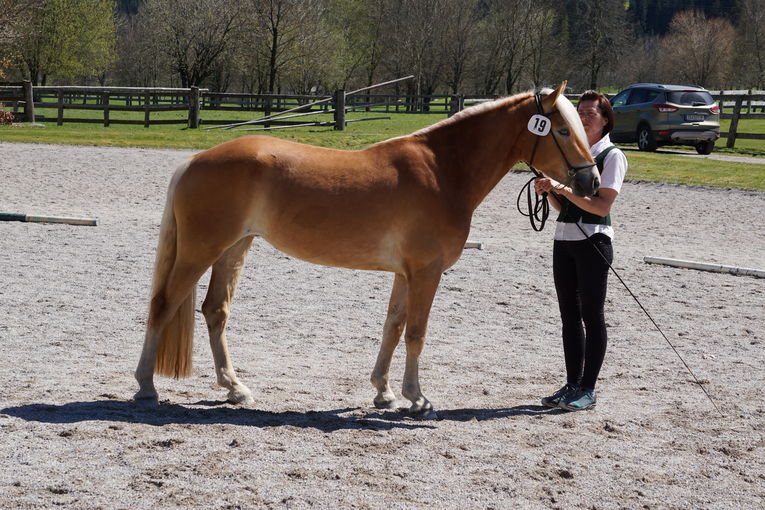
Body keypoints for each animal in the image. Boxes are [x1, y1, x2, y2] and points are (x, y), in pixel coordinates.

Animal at [134, 78, 596, 414]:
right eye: (561, 129)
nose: (591, 182)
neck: (444, 171)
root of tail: (194, 160)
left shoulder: (404, 274)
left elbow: (393, 327)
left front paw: (384, 392)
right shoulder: (426, 272)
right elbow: (416, 333)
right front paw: (417, 398)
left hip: (234, 249)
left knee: (215, 311)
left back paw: (235, 389)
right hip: (201, 251)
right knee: (163, 304)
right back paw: (146, 387)